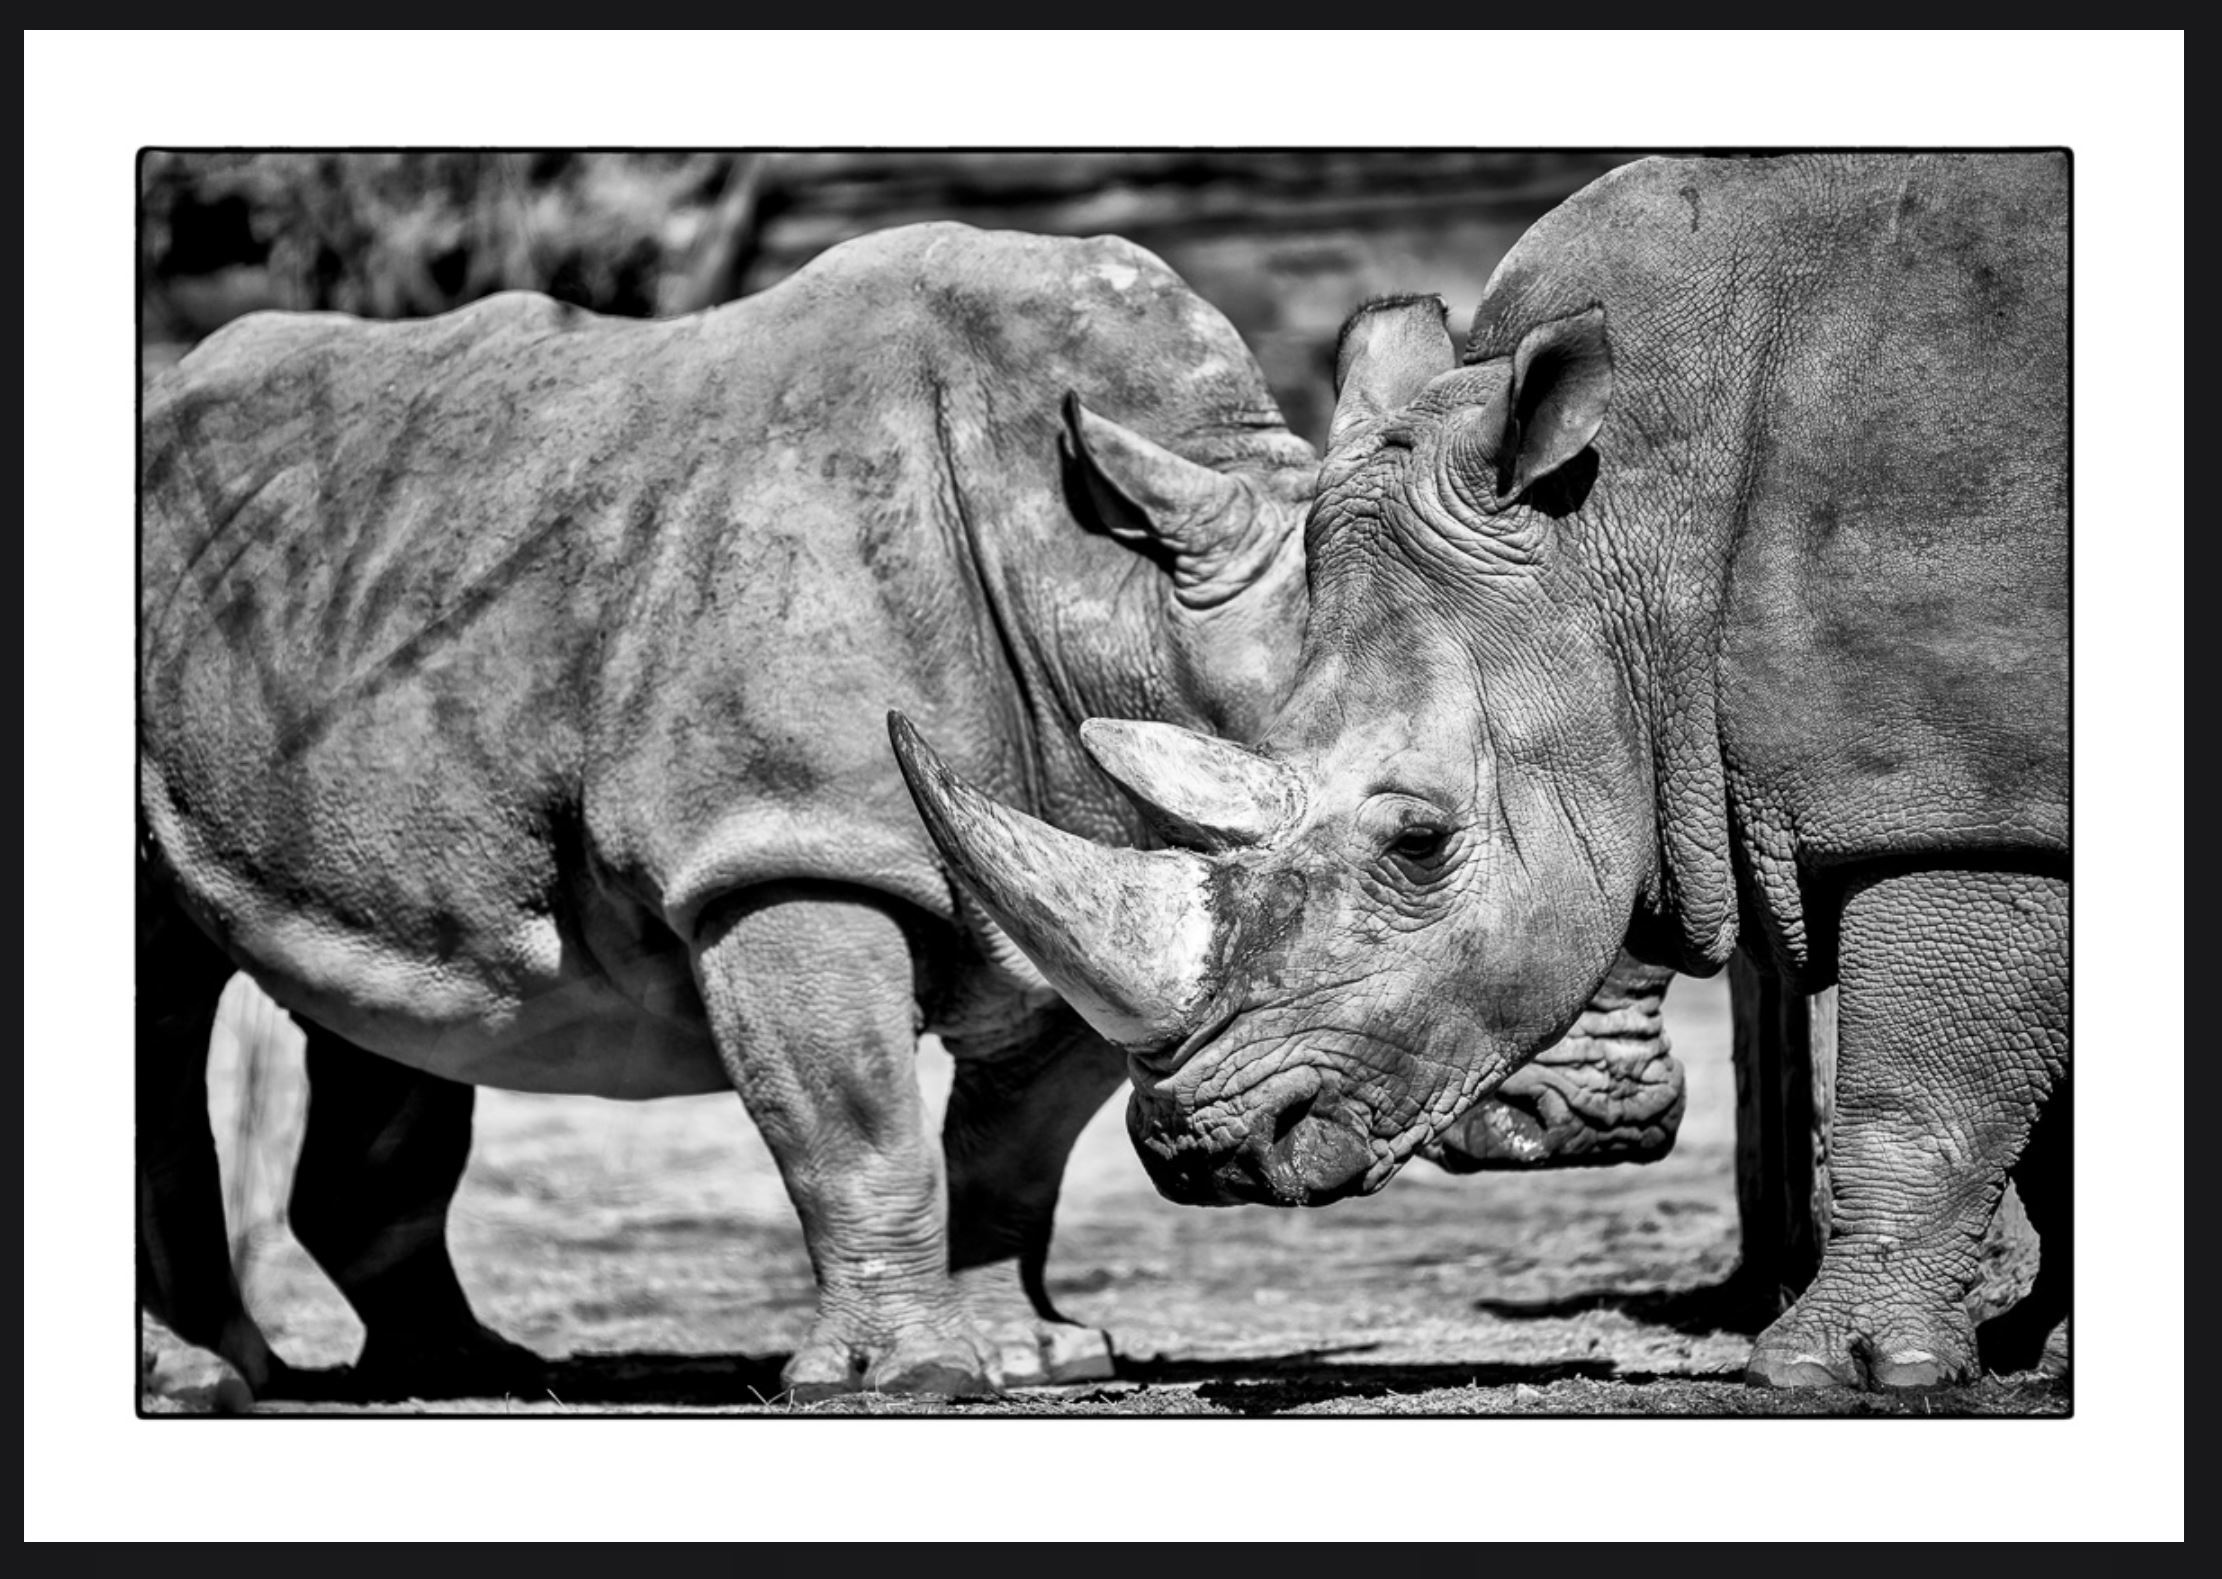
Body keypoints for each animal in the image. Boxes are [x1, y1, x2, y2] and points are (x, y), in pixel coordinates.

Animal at [893, 154, 2069, 1390]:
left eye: (1417, 844)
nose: (1206, 1152)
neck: (1625, 528)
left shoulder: (1961, 796)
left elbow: (1922, 1080)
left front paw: (1832, 1370)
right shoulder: (1997, 787)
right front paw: (2025, 1348)